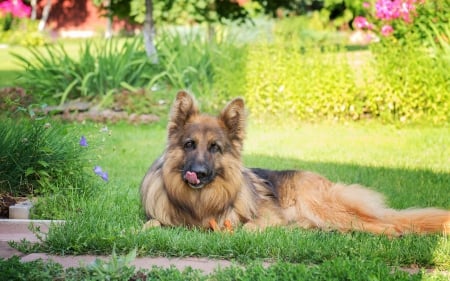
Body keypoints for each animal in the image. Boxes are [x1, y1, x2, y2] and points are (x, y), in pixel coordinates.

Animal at [139, 91, 448, 235]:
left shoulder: (263, 218)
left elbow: (247, 227)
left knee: (384, 225)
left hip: (322, 207)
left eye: (215, 148)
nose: (198, 173)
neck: (199, 203)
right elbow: (149, 224)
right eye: (189, 145)